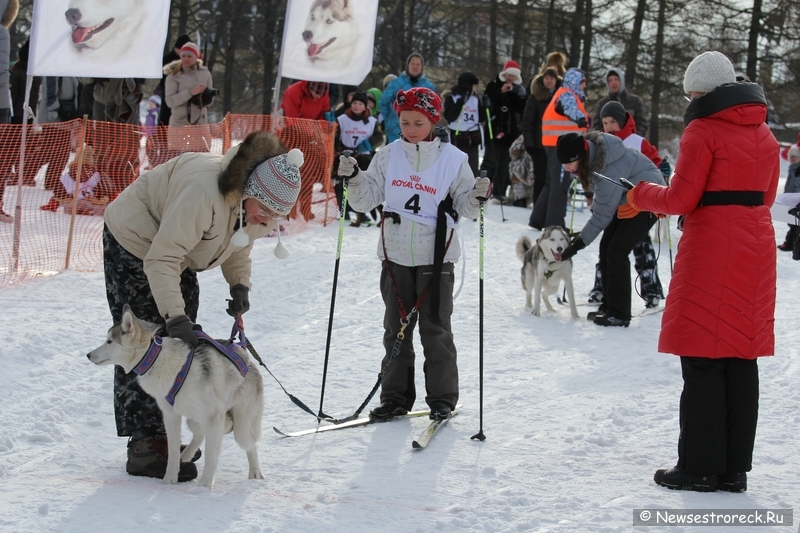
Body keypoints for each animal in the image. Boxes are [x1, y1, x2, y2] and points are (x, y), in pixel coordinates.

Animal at [87, 306, 264, 488]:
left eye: (109, 341)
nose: (88, 354)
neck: (155, 359)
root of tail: (248, 359)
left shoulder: (213, 417)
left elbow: (211, 456)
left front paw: (205, 485)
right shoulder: (171, 415)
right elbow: (172, 450)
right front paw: (170, 478)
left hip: (239, 427)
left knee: (250, 444)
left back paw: (255, 471)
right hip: (194, 418)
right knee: (200, 434)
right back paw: (186, 455)